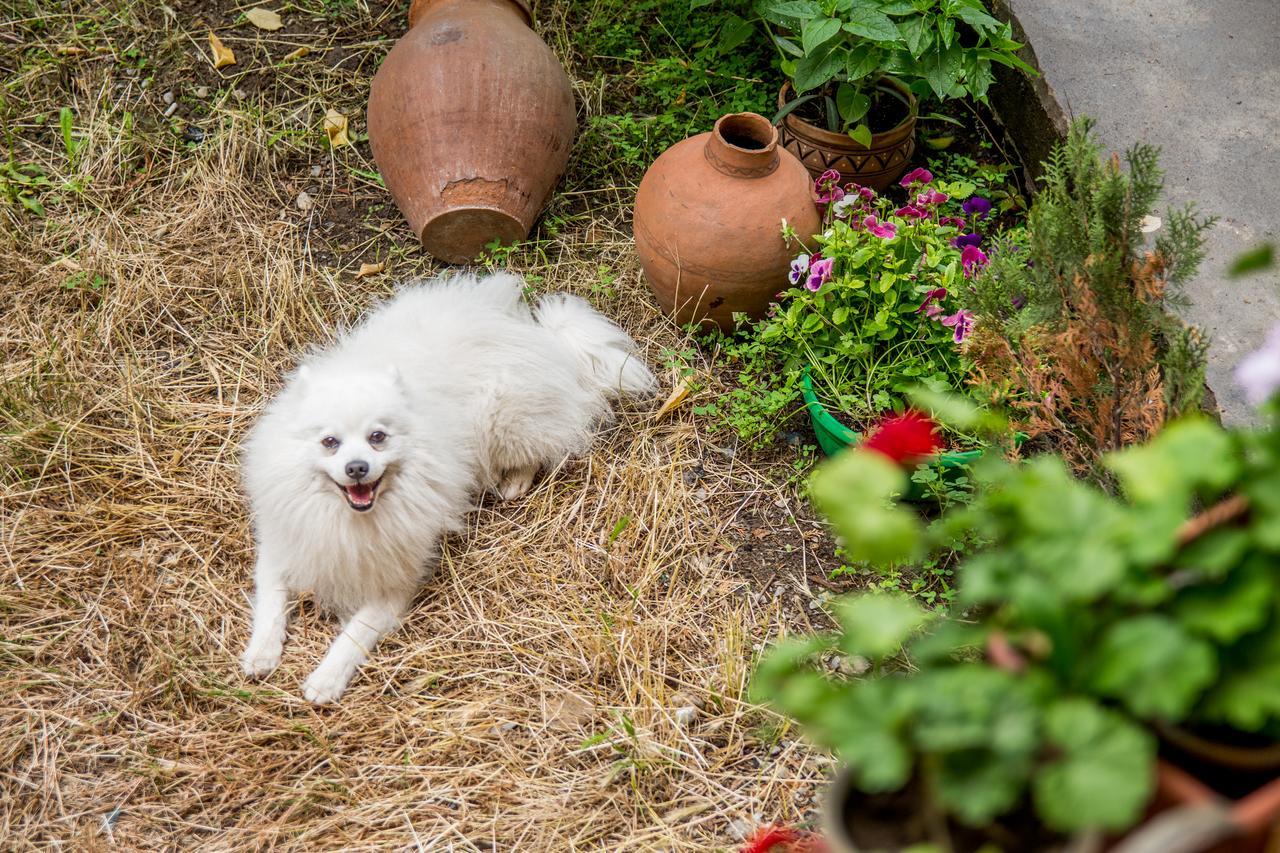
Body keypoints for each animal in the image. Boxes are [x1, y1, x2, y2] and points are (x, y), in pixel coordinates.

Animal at [240, 270, 655, 696]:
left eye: (378, 437)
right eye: (330, 442)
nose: (356, 468)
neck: (349, 520)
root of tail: (535, 331)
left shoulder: (395, 583)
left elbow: (355, 633)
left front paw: (326, 679)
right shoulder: (284, 545)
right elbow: (271, 603)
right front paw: (261, 654)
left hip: (502, 419)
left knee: (541, 448)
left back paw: (514, 482)